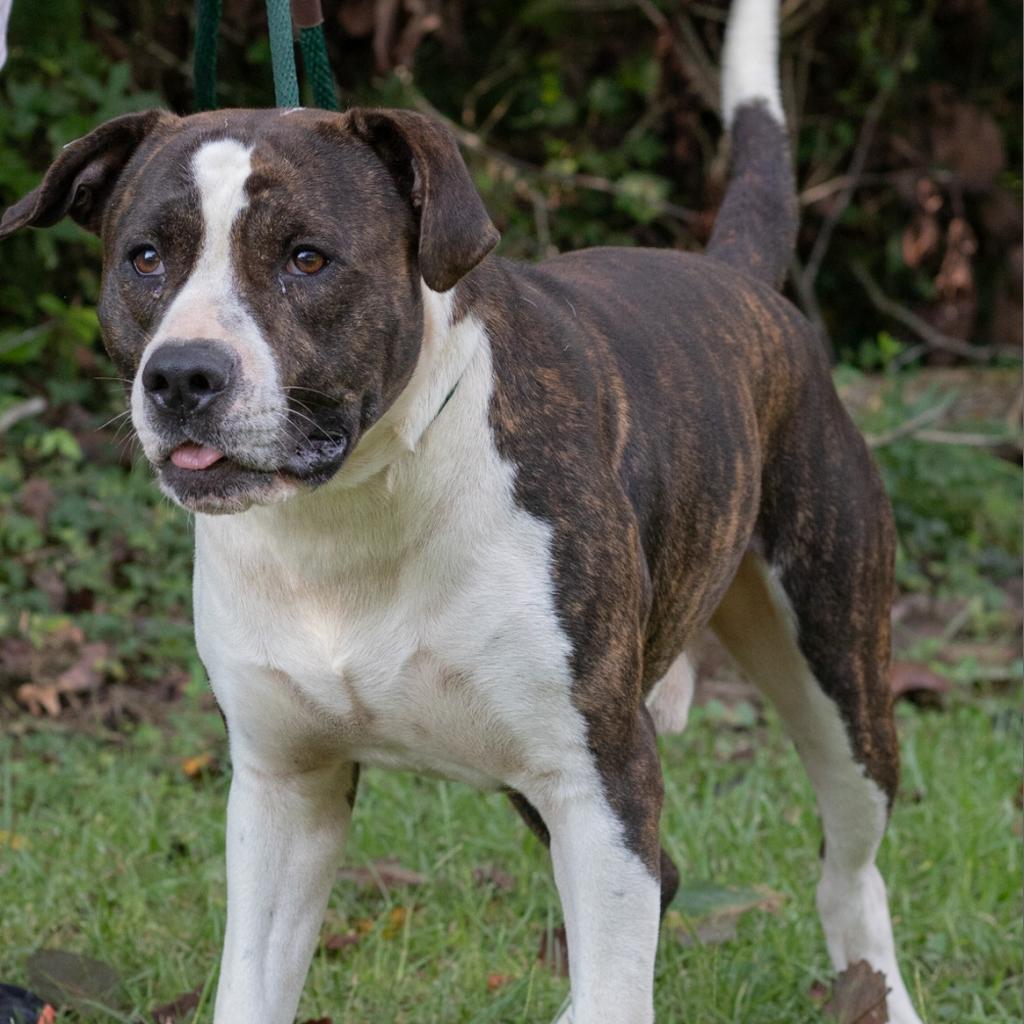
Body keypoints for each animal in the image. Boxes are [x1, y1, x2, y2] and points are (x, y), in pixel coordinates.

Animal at [0, 0, 925, 1019]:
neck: (351, 511)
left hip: (835, 673)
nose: (182, 376)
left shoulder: (600, 777)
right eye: (146, 258)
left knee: (848, 867)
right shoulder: (286, 790)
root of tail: (739, 281)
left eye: (307, 259)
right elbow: (250, 985)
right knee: (671, 879)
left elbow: (623, 973)